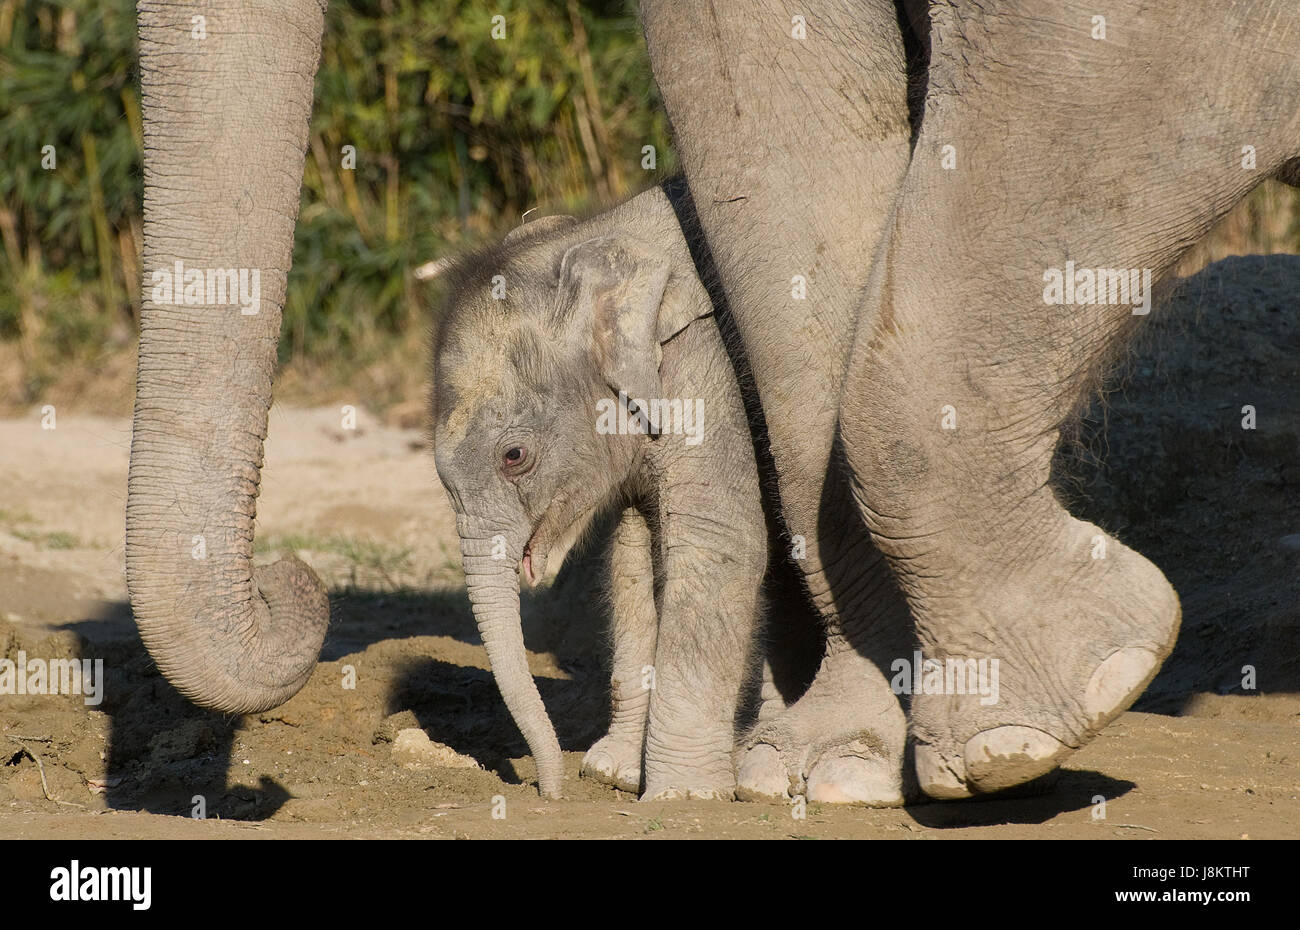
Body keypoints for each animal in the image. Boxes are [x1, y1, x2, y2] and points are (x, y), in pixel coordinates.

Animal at [429, 183, 769, 799]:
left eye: (514, 457)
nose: (548, 794)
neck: (594, 237)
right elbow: (633, 556)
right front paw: (613, 771)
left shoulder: (699, 362)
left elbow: (719, 539)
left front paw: (682, 795)